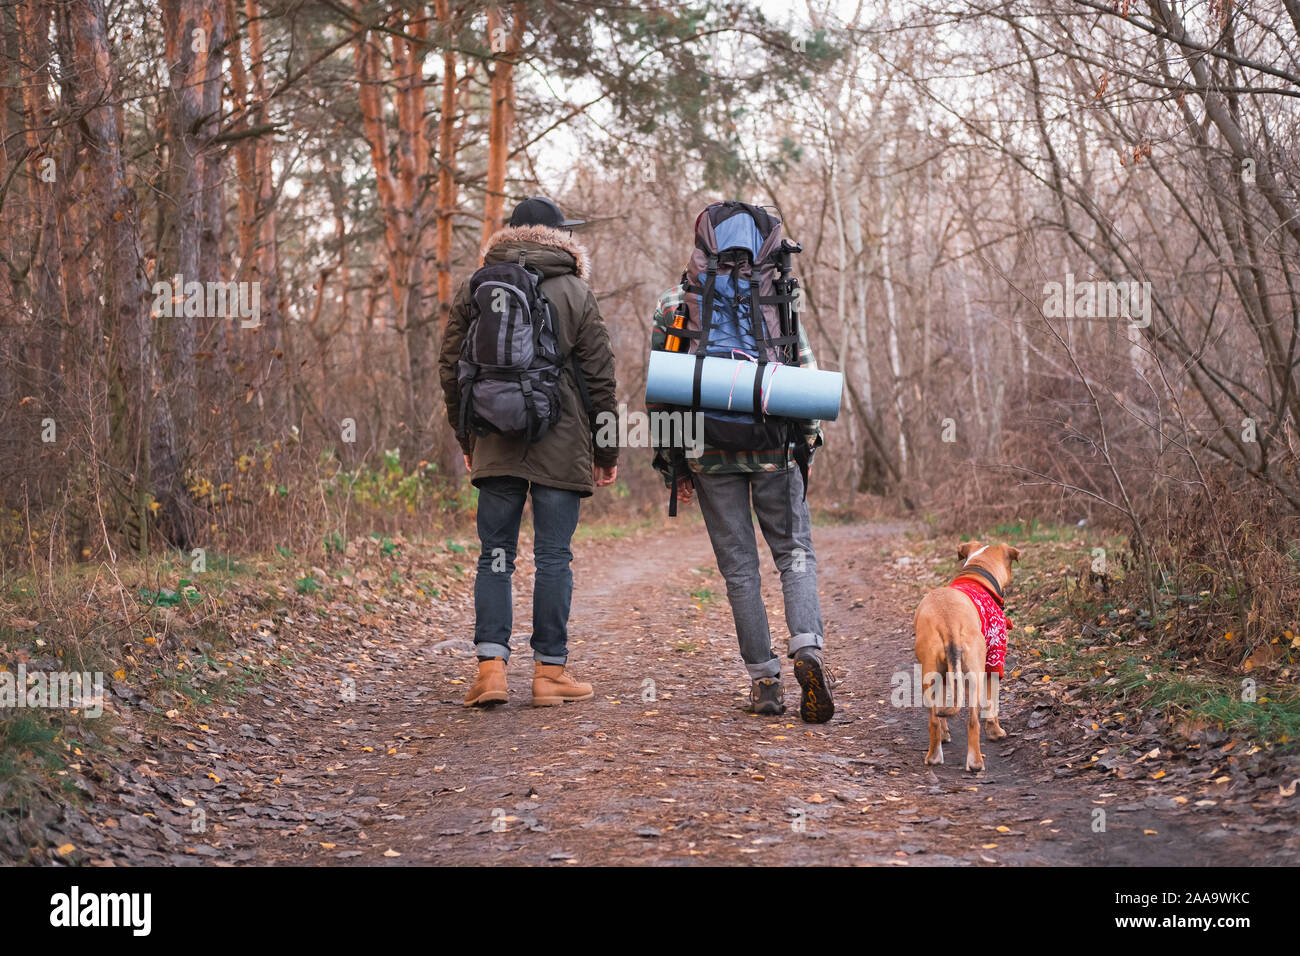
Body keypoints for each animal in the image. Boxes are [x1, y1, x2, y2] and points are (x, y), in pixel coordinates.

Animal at [909, 541, 1019, 775]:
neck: (976, 574)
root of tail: (948, 622)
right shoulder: (994, 663)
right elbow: (992, 704)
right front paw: (996, 731)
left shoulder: (944, 676)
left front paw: (944, 734)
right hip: (975, 676)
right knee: (973, 722)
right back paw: (975, 762)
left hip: (930, 674)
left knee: (934, 718)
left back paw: (934, 756)